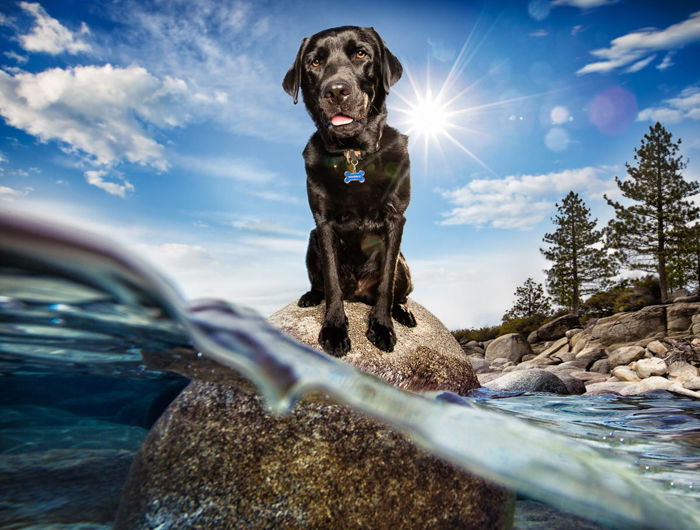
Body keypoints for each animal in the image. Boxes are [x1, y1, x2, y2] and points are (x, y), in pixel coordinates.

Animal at [284, 24, 416, 354]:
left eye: (360, 53)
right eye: (315, 62)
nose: (335, 90)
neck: (352, 154)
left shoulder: (396, 219)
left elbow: (385, 283)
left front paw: (381, 326)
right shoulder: (323, 223)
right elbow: (331, 281)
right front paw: (333, 329)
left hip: (405, 265)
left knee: (401, 292)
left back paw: (403, 311)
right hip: (312, 240)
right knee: (321, 284)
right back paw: (310, 296)